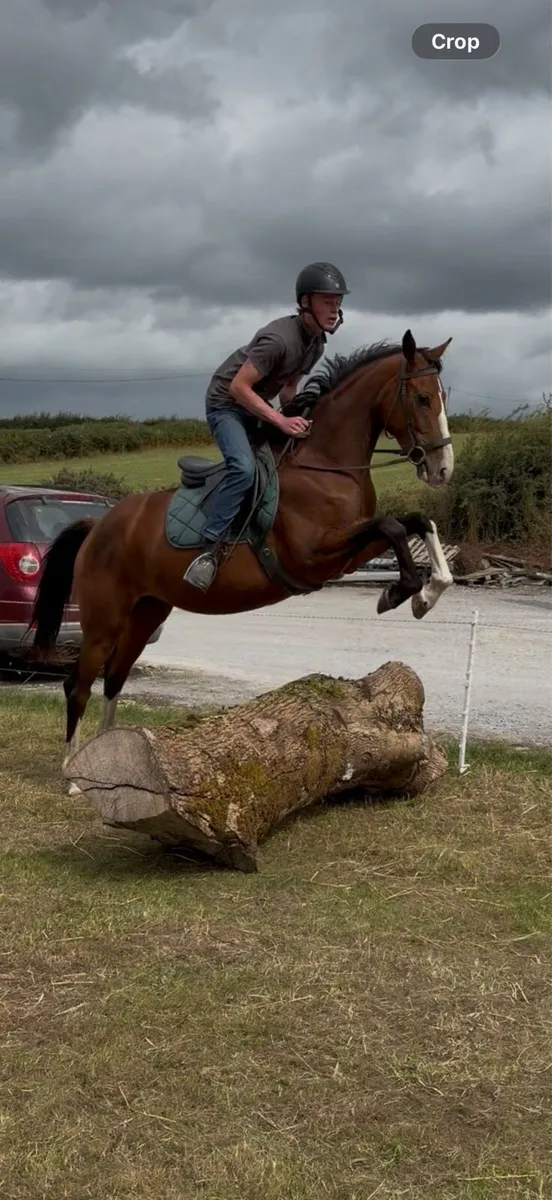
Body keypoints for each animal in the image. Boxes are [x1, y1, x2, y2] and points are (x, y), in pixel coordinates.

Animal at [31, 328, 455, 772]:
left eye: (443, 395)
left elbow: (415, 522)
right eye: (422, 398)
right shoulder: (313, 554)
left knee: (114, 678)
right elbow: (393, 526)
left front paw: (424, 594)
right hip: (103, 620)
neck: (325, 463)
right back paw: (72, 772)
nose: (443, 468)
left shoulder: (348, 551)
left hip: (146, 612)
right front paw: (400, 592)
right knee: (77, 685)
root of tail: (99, 525)